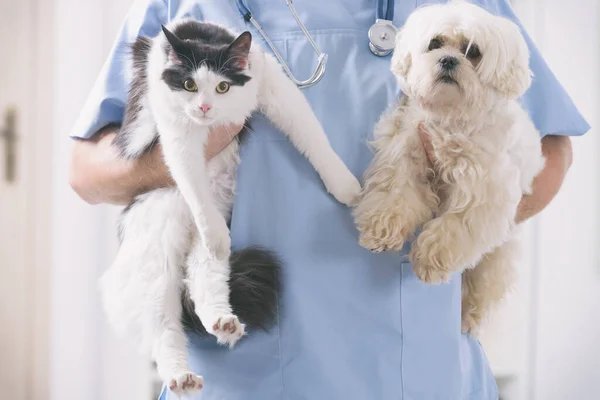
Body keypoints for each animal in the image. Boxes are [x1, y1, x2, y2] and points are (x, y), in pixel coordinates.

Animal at [99, 20, 360, 396]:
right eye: (190, 84)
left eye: (222, 86)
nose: (205, 108)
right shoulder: (177, 131)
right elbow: (192, 183)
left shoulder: (272, 84)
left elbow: (313, 136)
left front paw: (345, 186)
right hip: (156, 262)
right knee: (164, 329)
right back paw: (181, 376)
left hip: (203, 252)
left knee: (203, 279)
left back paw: (223, 323)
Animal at [354, 0, 548, 334]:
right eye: (435, 44)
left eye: (473, 52)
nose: (447, 60)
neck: (452, 117)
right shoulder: (407, 153)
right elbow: (395, 195)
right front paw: (381, 231)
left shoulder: (483, 193)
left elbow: (454, 228)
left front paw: (430, 261)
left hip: (497, 258)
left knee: (484, 287)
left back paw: (469, 315)